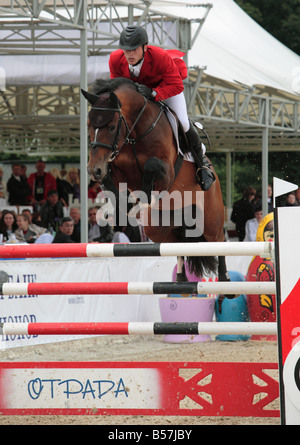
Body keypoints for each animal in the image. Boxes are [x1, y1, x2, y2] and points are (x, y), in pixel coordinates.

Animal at [82, 77, 232, 286]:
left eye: (111, 127)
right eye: (89, 125)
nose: (93, 170)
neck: (136, 132)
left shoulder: (166, 173)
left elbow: (151, 165)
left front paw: (143, 197)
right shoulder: (118, 166)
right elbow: (111, 176)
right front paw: (124, 204)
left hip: (210, 221)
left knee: (220, 243)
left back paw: (225, 281)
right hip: (159, 228)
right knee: (178, 244)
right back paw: (180, 279)